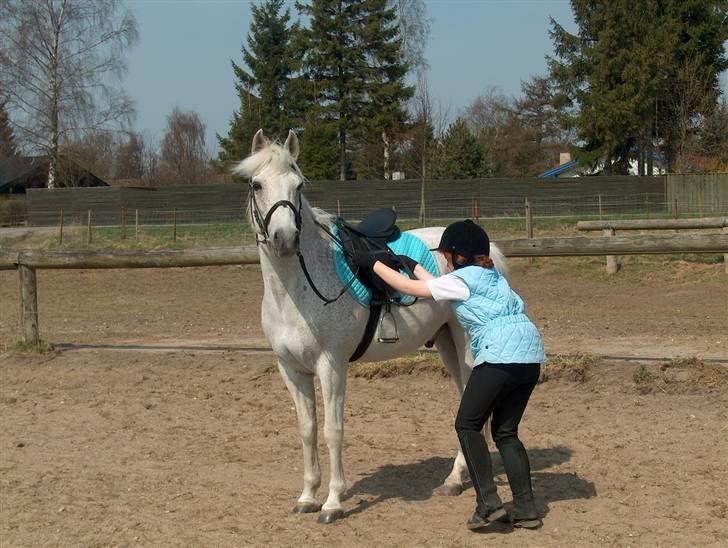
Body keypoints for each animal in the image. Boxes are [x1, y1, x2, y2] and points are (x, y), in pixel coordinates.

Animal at [233, 131, 506, 524]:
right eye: (256, 184)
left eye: (298, 186)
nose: (285, 239)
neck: (295, 291)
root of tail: (488, 252)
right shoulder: (291, 369)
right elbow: (307, 429)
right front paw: (307, 496)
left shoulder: (331, 366)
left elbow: (332, 431)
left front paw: (332, 502)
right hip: (446, 345)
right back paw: (456, 478)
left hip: (466, 346)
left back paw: (456, 479)